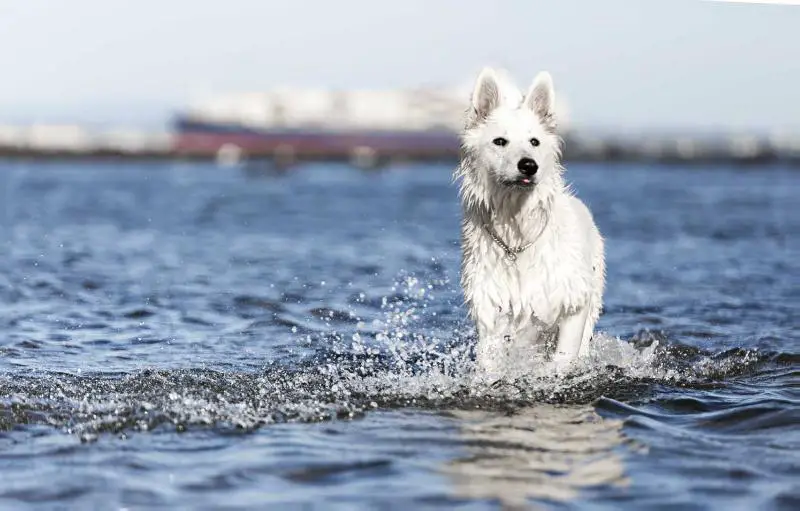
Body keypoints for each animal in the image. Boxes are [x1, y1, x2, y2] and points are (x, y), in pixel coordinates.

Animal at [456, 68, 608, 378]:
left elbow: (564, 354)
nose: (529, 165)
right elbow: (489, 362)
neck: (518, 233)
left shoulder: (573, 300)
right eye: (500, 141)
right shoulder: (491, 310)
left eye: (534, 142)